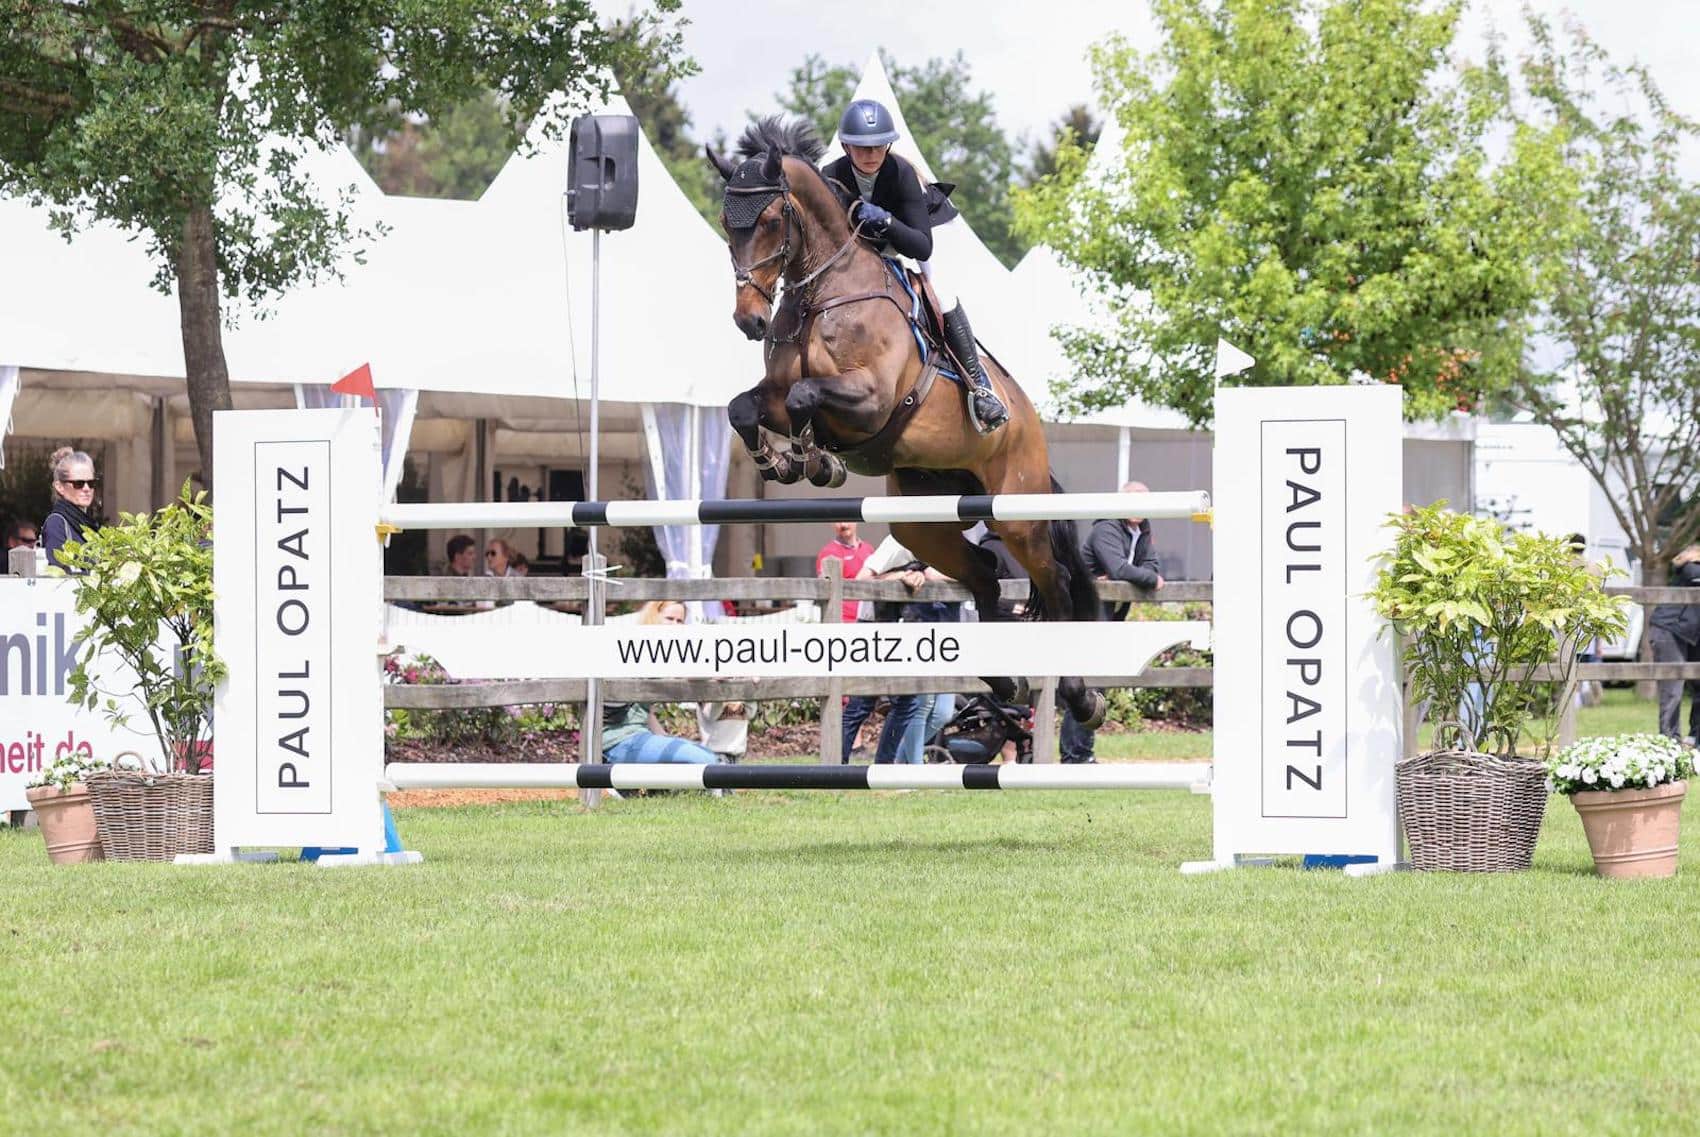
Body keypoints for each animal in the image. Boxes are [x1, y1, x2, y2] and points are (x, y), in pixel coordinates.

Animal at [700, 119, 1101, 727]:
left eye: (769, 221)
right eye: (728, 223)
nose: (749, 321)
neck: (825, 292)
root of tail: (1031, 424)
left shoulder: (871, 400)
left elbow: (806, 395)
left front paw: (816, 460)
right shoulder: (772, 397)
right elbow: (745, 407)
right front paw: (781, 461)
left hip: (1017, 510)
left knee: (1052, 581)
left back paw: (1078, 696)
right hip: (922, 520)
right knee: (983, 575)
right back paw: (1004, 682)